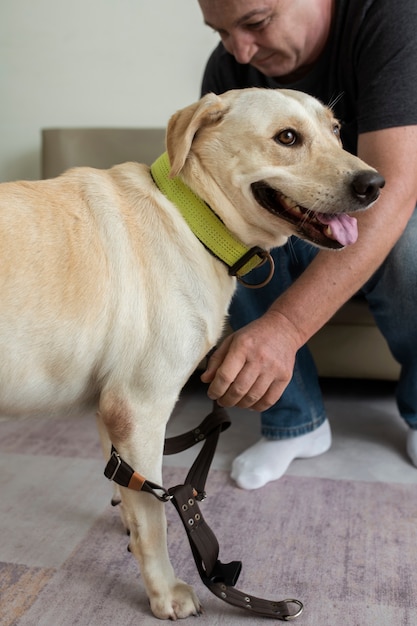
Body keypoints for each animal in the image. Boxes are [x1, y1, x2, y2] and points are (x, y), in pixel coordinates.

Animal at [0, 88, 384, 620]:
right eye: (288, 137)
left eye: (336, 130)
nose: (376, 184)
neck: (194, 219)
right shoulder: (139, 408)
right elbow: (156, 517)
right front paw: (165, 592)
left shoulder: (110, 404)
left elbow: (125, 487)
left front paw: (125, 522)